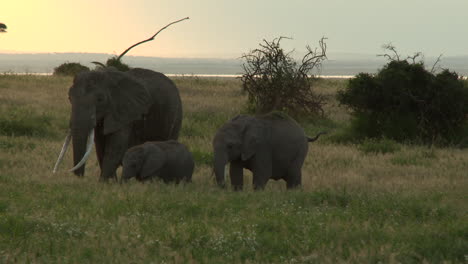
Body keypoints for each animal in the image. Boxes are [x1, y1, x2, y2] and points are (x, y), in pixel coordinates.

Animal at [53, 67, 181, 182]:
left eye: (100, 99)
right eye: (69, 98)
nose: (79, 177)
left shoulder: (125, 112)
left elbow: (115, 147)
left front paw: (103, 183)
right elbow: (101, 147)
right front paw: (111, 182)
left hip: (176, 115)